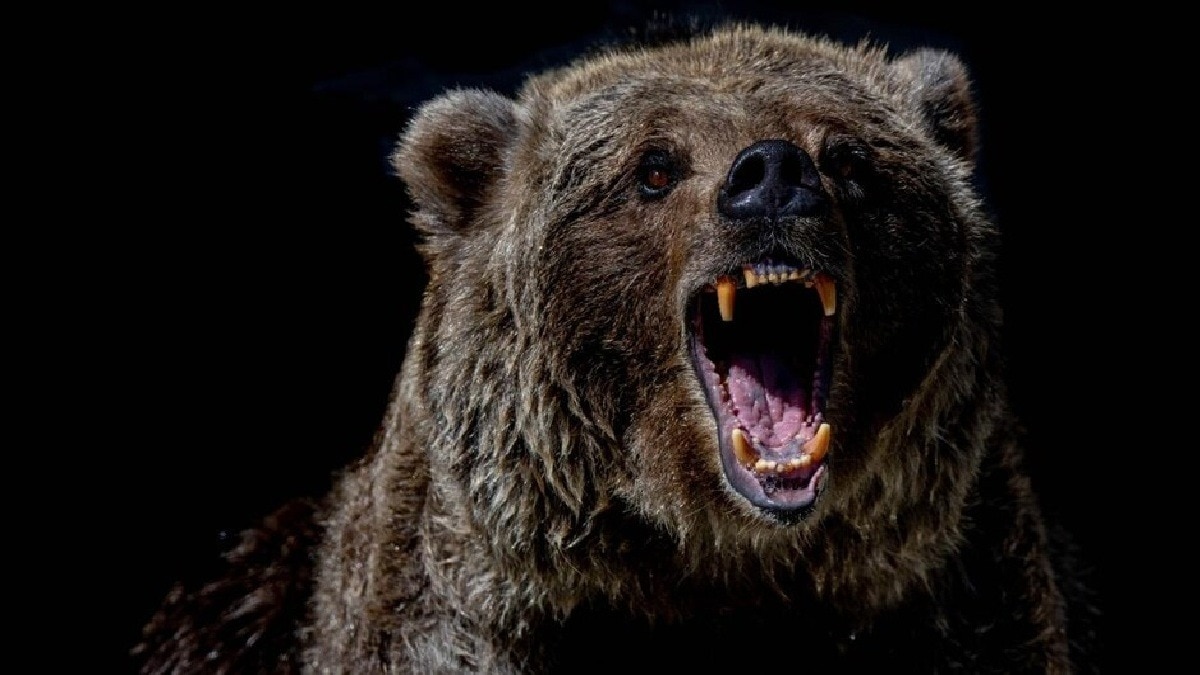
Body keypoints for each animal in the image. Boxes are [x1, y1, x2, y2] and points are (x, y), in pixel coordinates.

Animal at [133, 22, 1098, 674]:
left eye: (850, 158)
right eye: (655, 167)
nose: (772, 175)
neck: (716, 563)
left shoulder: (950, 598)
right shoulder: (465, 617)